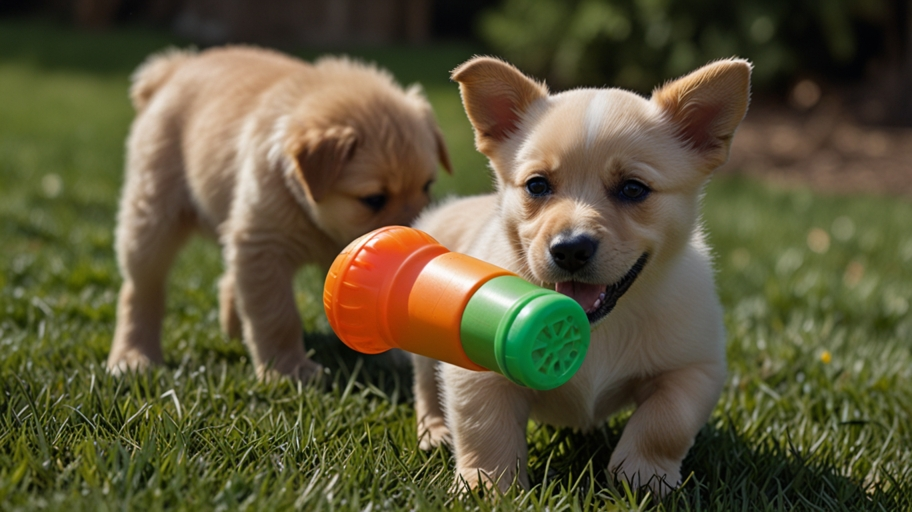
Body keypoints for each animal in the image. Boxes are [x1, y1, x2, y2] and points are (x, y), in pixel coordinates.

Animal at [110, 46, 452, 380]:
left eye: (427, 186)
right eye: (374, 199)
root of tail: (176, 67)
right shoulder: (263, 246)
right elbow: (278, 315)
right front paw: (287, 369)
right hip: (152, 214)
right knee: (140, 291)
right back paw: (133, 356)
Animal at [414, 57, 748, 496]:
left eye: (633, 189)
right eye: (537, 185)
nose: (570, 248)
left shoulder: (692, 369)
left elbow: (665, 423)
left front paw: (642, 478)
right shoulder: (475, 374)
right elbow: (485, 430)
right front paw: (487, 487)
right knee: (426, 387)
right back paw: (434, 432)